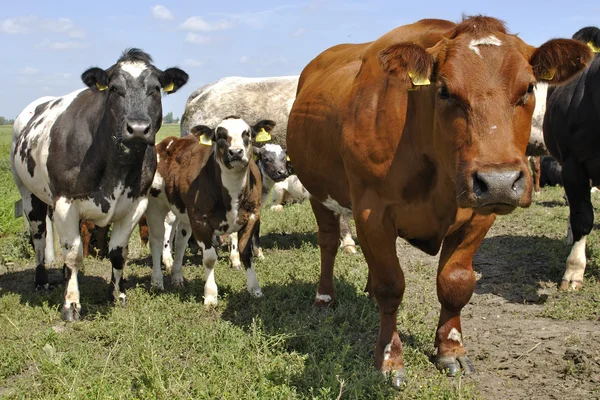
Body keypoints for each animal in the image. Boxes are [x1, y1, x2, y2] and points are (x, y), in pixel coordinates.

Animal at [10, 48, 189, 320]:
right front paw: (71, 304)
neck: (116, 165)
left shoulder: (135, 203)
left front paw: (117, 294)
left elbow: (117, 252)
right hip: (29, 194)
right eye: (114, 88)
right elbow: (74, 254)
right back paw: (41, 280)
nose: (138, 129)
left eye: (156, 88)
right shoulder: (65, 202)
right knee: (39, 236)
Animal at [288, 15, 592, 388]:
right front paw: (389, 359)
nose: (499, 182)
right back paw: (324, 298)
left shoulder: (478, 217)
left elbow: (455, 283)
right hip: (318, 191)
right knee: (329, 243)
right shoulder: (372, 211)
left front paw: (451, 349)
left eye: (529, 88)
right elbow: (391, 286)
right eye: (445, 90)